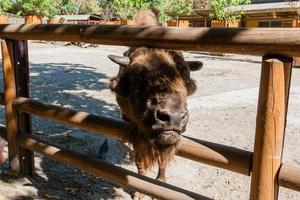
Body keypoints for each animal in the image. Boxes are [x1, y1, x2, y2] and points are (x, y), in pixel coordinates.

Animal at [108, 7, 202, 186]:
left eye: (186, 78)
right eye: (135, 77)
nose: (173, 117)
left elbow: (162, 161)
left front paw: (161, 181)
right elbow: (140, 158)